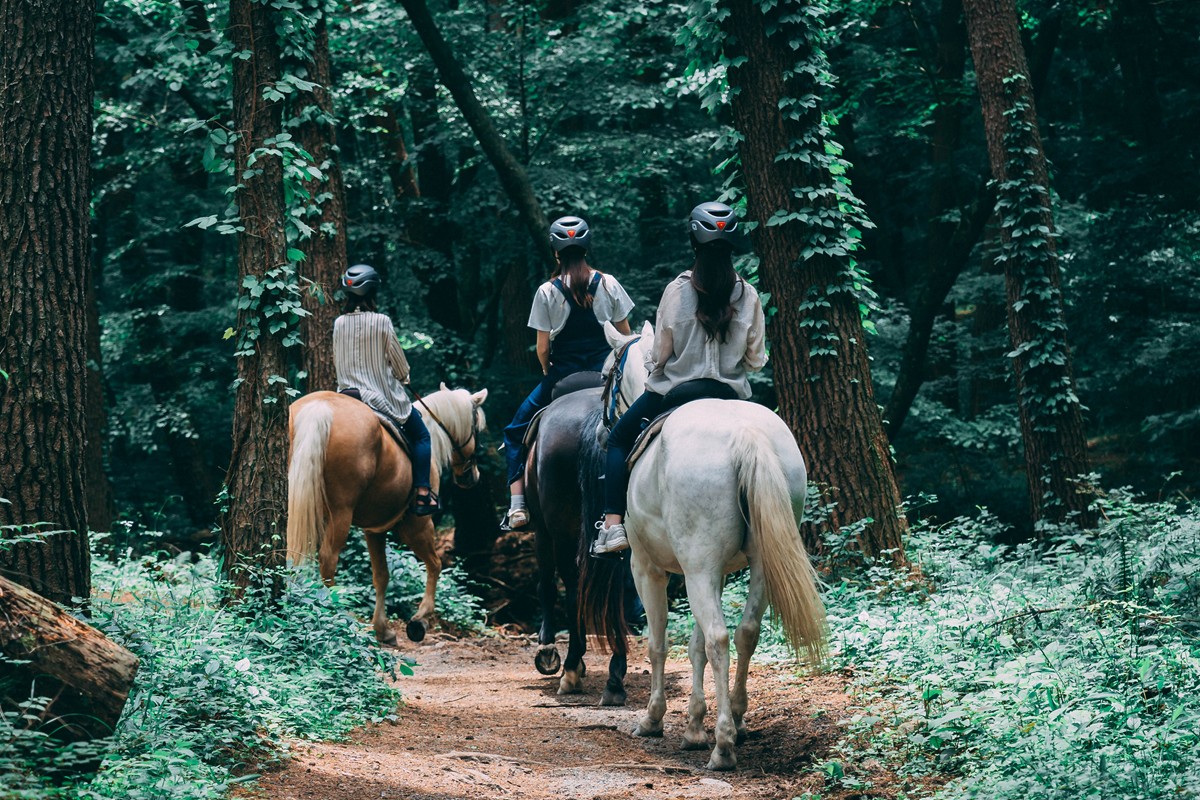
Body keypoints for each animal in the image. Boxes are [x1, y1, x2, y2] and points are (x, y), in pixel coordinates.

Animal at [285, 383, 487, 642]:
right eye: (477, 430)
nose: (472, 477)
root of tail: (319, 408)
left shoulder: (374, 530)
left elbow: (381, 575)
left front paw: (382, 629)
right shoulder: (418, 525)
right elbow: (435, 565)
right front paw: (420, 620)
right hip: (341, 513)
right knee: (328, 560)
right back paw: (335, 615)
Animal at [600, 321, 825, 772]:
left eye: (603, 376)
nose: (602, 429)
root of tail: (745, 433)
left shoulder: (648, 569)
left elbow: (660, 643)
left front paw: (655, 719)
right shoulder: (712, 572)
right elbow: (695, 645)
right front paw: (692, 727)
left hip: (695, 569)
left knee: (720, 638)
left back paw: (723, 745)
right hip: (754, 566)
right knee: (745, 632)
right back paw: (735, 719)